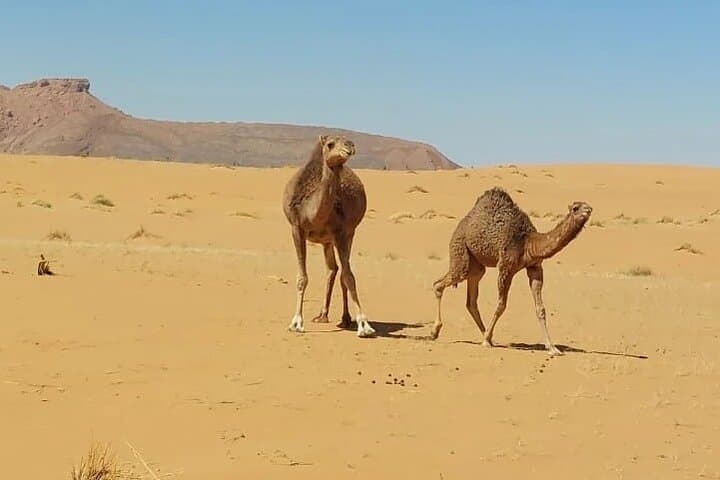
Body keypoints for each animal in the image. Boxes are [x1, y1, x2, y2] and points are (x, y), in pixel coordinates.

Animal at [282, 135, 375, 337]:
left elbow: (349, 277)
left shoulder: (340, 232)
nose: (350, 147)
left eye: (350, 142)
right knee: (332, 269)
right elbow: (302, 278)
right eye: (330, 144)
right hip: (326, 241)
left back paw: (345, 318)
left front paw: (364, 325)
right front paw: (296, 323)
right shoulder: (296, 228)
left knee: (339, 271)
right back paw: (322, 315)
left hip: (348, 234)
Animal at [432, 187, 592, 356]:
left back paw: (488, 337)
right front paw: (486, 340)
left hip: (476, 265)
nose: (588, 210)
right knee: (440, 284)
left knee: (471, 300)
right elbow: (501, 305)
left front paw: (552, 348)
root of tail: (462, 223)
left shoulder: (535, 268)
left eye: (588, 206)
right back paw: (436, 332)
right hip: (461, 252)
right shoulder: (506, 266)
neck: (527, 243)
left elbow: (540, 309)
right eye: (576, 208)